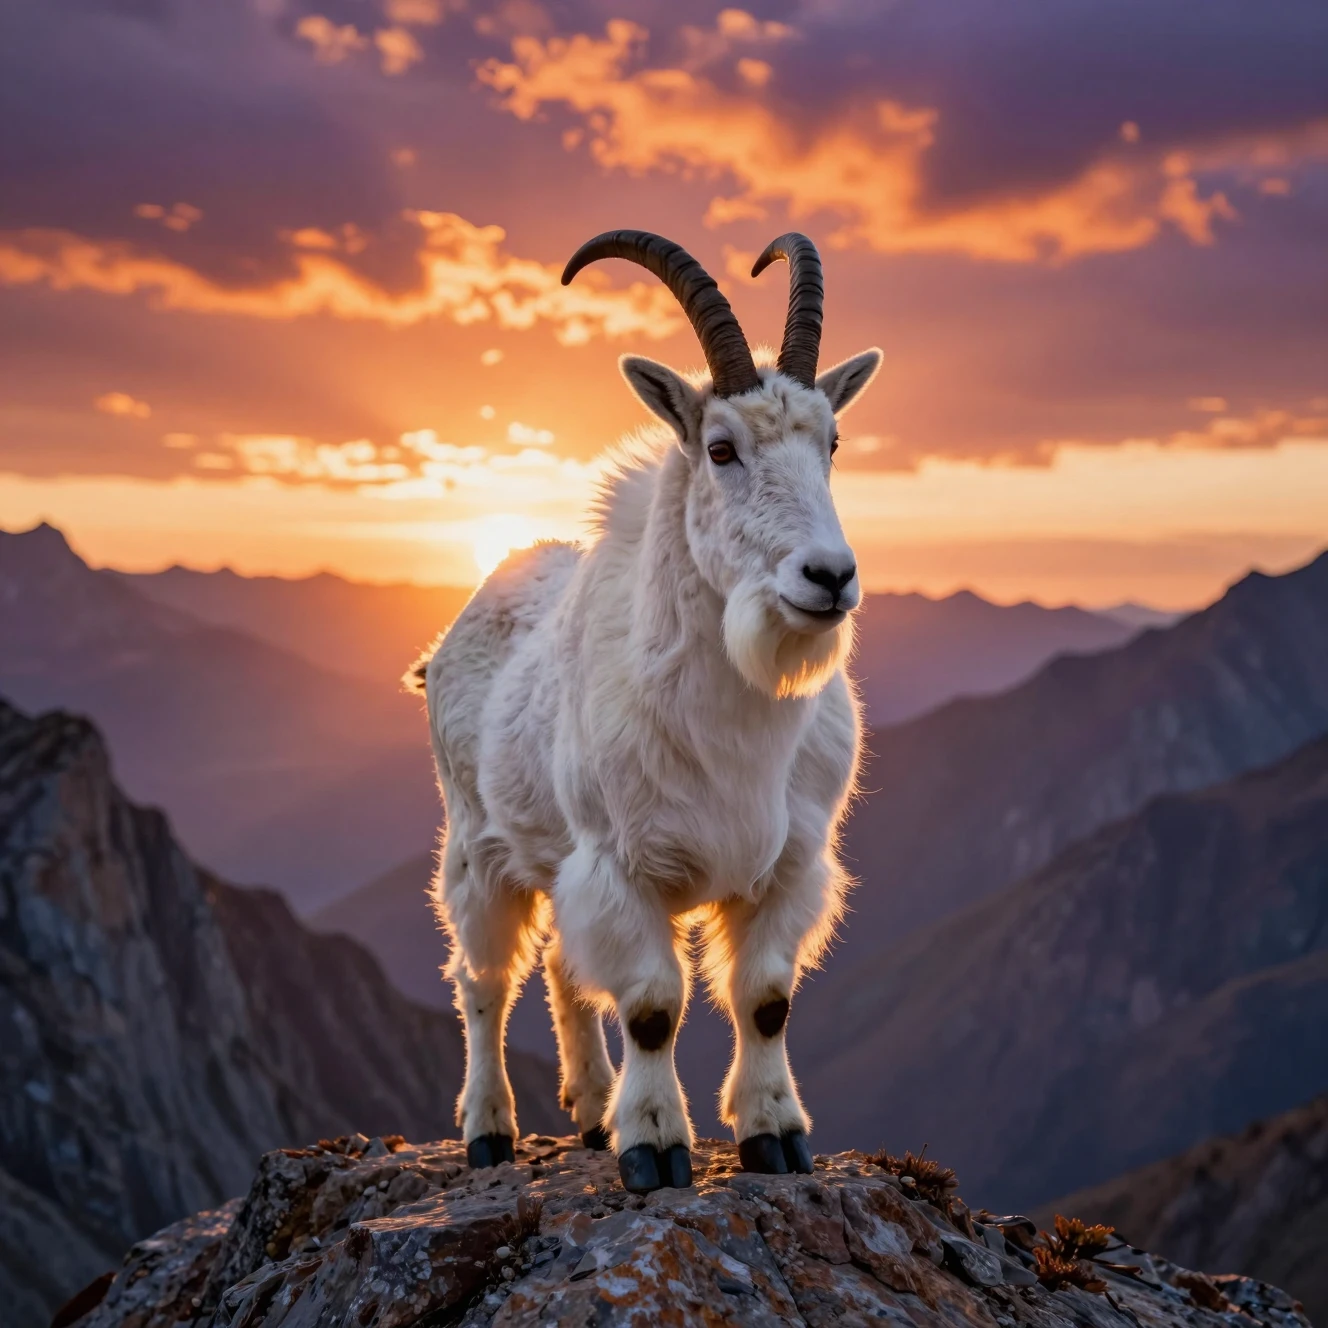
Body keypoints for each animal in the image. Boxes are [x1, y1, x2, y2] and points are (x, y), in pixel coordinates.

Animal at [415, 229, 881, 1193]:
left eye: (833, 439)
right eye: (720, 448)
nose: (829, 577)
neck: (735, 724)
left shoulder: (790, 864)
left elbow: (766, 998)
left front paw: (774, 1135)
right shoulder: (622, 867)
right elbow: (654, 1006)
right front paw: (657, 1147)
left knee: (561, 966)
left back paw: (592, 1110)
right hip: (476, 843)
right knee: (483, 980)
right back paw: (489, 1130)